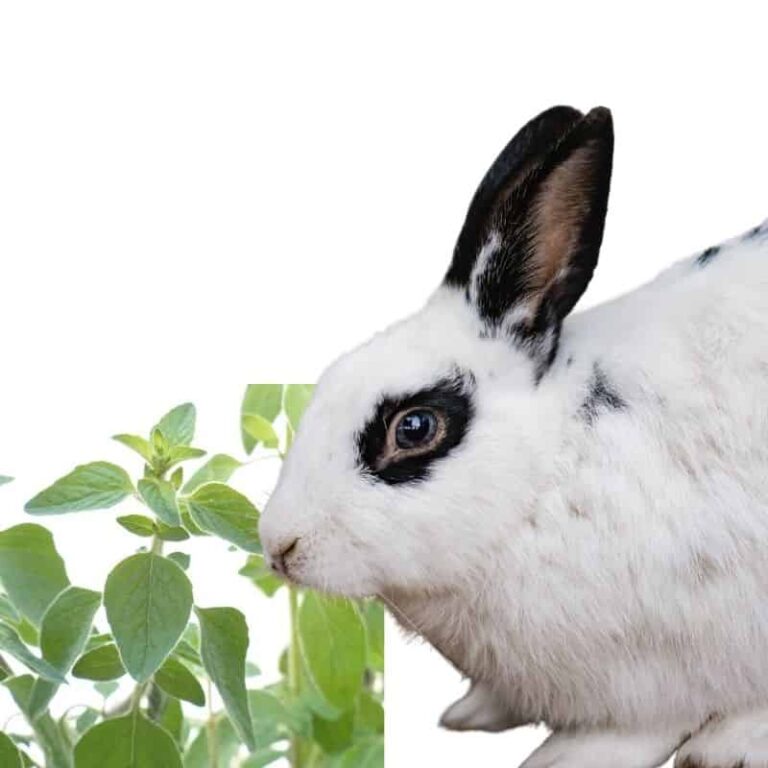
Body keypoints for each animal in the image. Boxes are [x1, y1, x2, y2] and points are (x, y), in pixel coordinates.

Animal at [259, 105, 768, 768]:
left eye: (414, 427)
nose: (279, 545)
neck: (548, 474)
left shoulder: (671, 669)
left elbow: (639, 729)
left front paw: (560, 758)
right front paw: (470, 714)